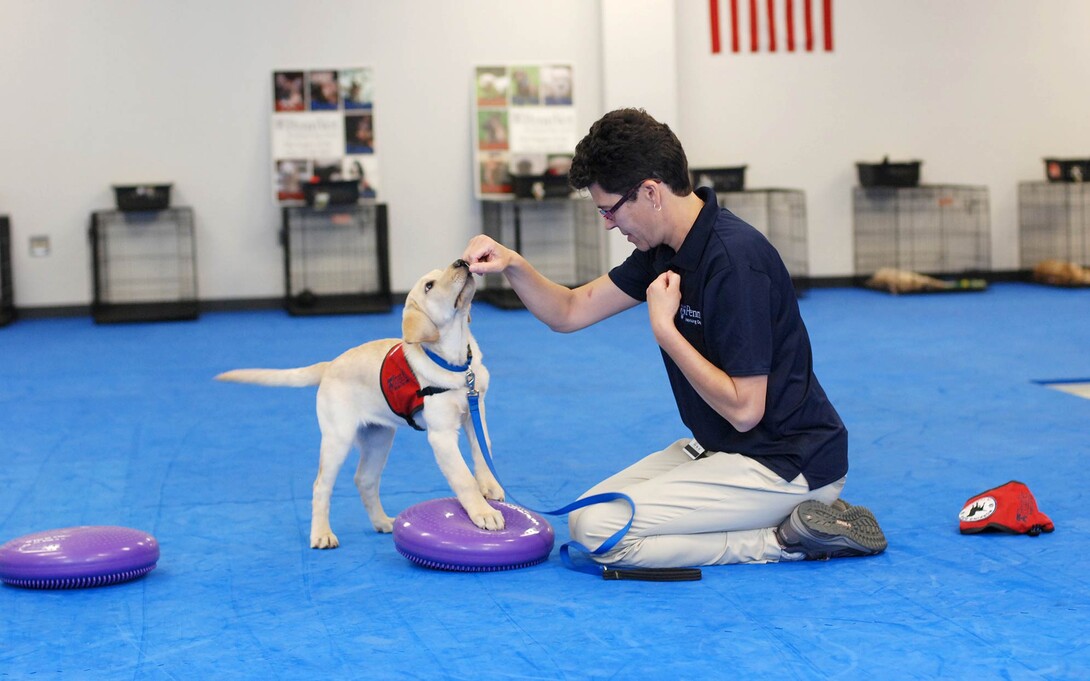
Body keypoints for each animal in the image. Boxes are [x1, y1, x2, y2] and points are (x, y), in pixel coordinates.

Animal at [216, 259, 505, 546]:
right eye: (429, 286)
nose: (462, 261)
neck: (457, 363)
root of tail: (328, 365)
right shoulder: (441, 435)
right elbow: (463, 478)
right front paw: (484, 513)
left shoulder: (475, 412)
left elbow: (483, 450)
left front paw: (491, 487)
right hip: (337, 438)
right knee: (321, 486)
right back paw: (322, 534)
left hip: (379, 437)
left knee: (364, 480)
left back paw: (383, 522)